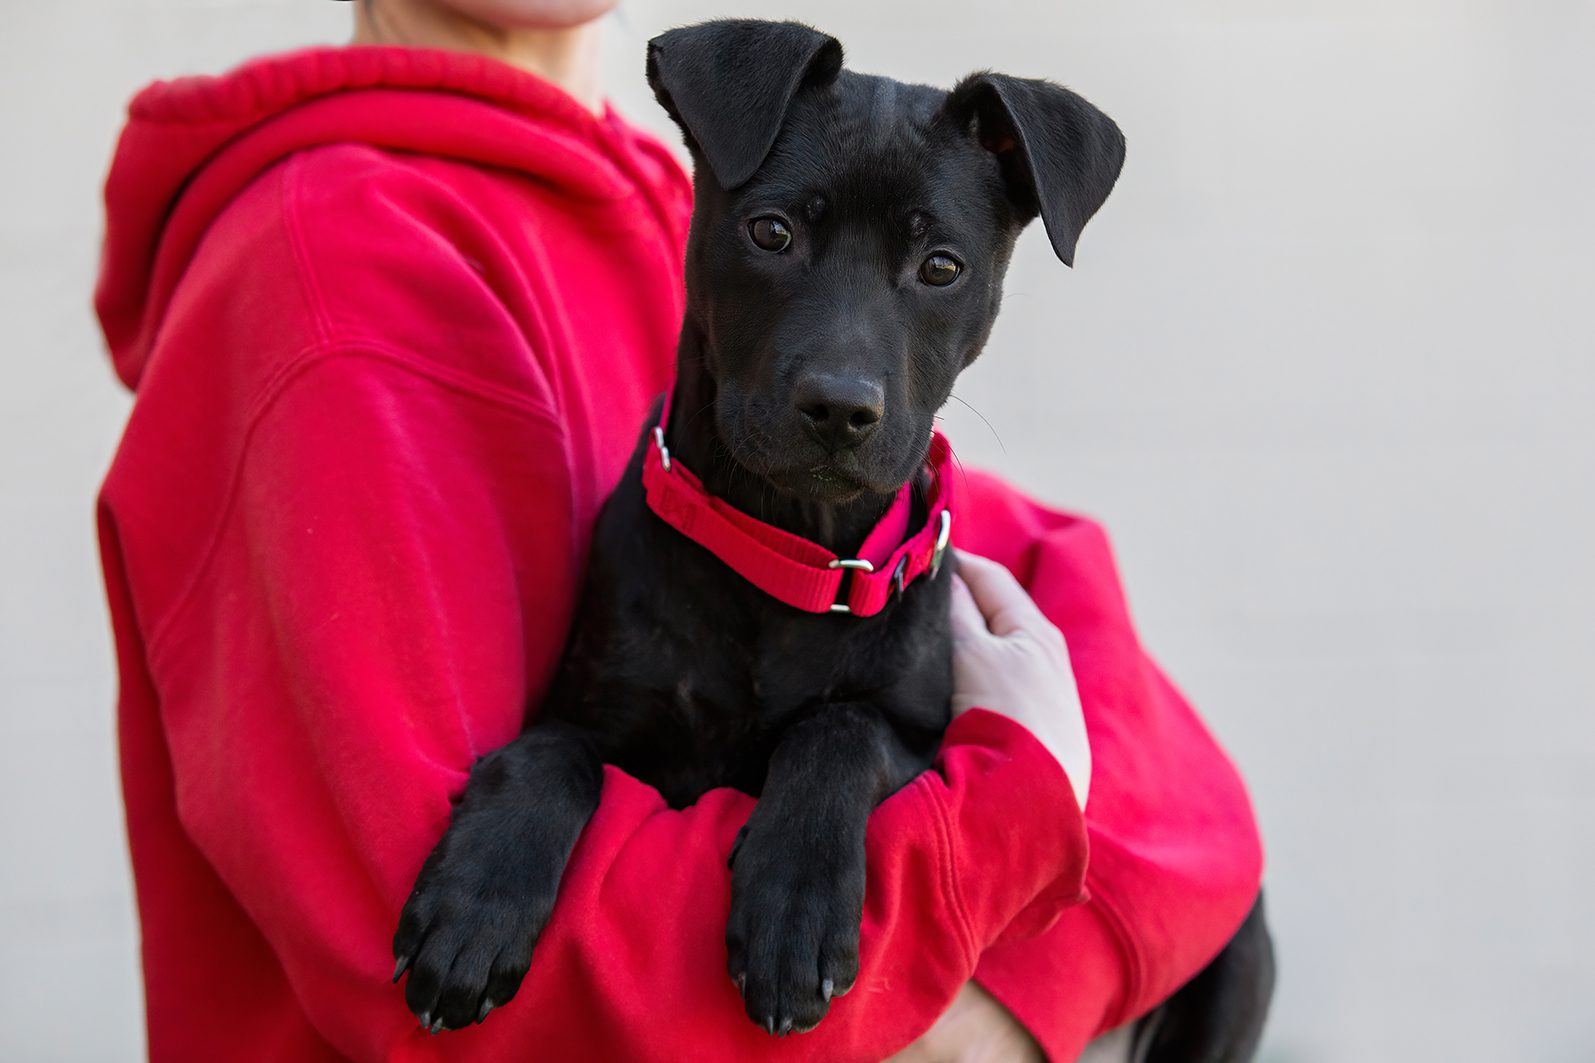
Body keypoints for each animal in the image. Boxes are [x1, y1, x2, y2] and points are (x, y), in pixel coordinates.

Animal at [389, 16, 1269, 1053]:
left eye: (941, 267)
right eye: (771, 231)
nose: (840, 409)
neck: (793, 556)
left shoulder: (930, 742)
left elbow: (839, 726)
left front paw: (795, 905)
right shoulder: (597, 705)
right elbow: (547, 751)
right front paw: (477, 901)